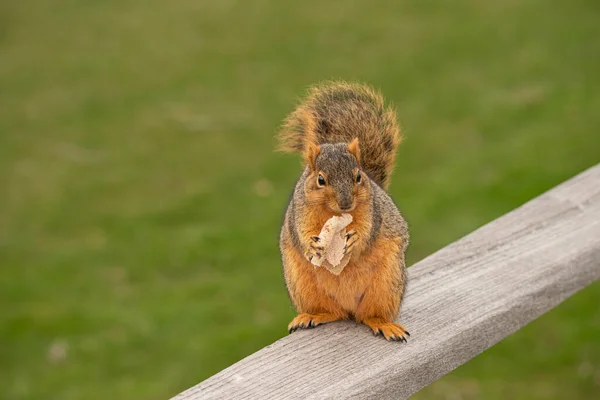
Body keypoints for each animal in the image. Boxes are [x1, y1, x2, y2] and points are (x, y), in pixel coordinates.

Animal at [278, 80, 410, 340]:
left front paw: (355, 239)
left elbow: (367, 233)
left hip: (387, 283)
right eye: (320, 180)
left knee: (369, 314)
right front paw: (312, 245)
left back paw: (384, 324)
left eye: (358, 176)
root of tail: (348, 306)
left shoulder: (372, 212)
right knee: (332, 312)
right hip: (303, 285)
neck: (334, 214)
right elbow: (303, 232)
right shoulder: (300, 212)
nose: (346, 203)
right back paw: (313, 315)